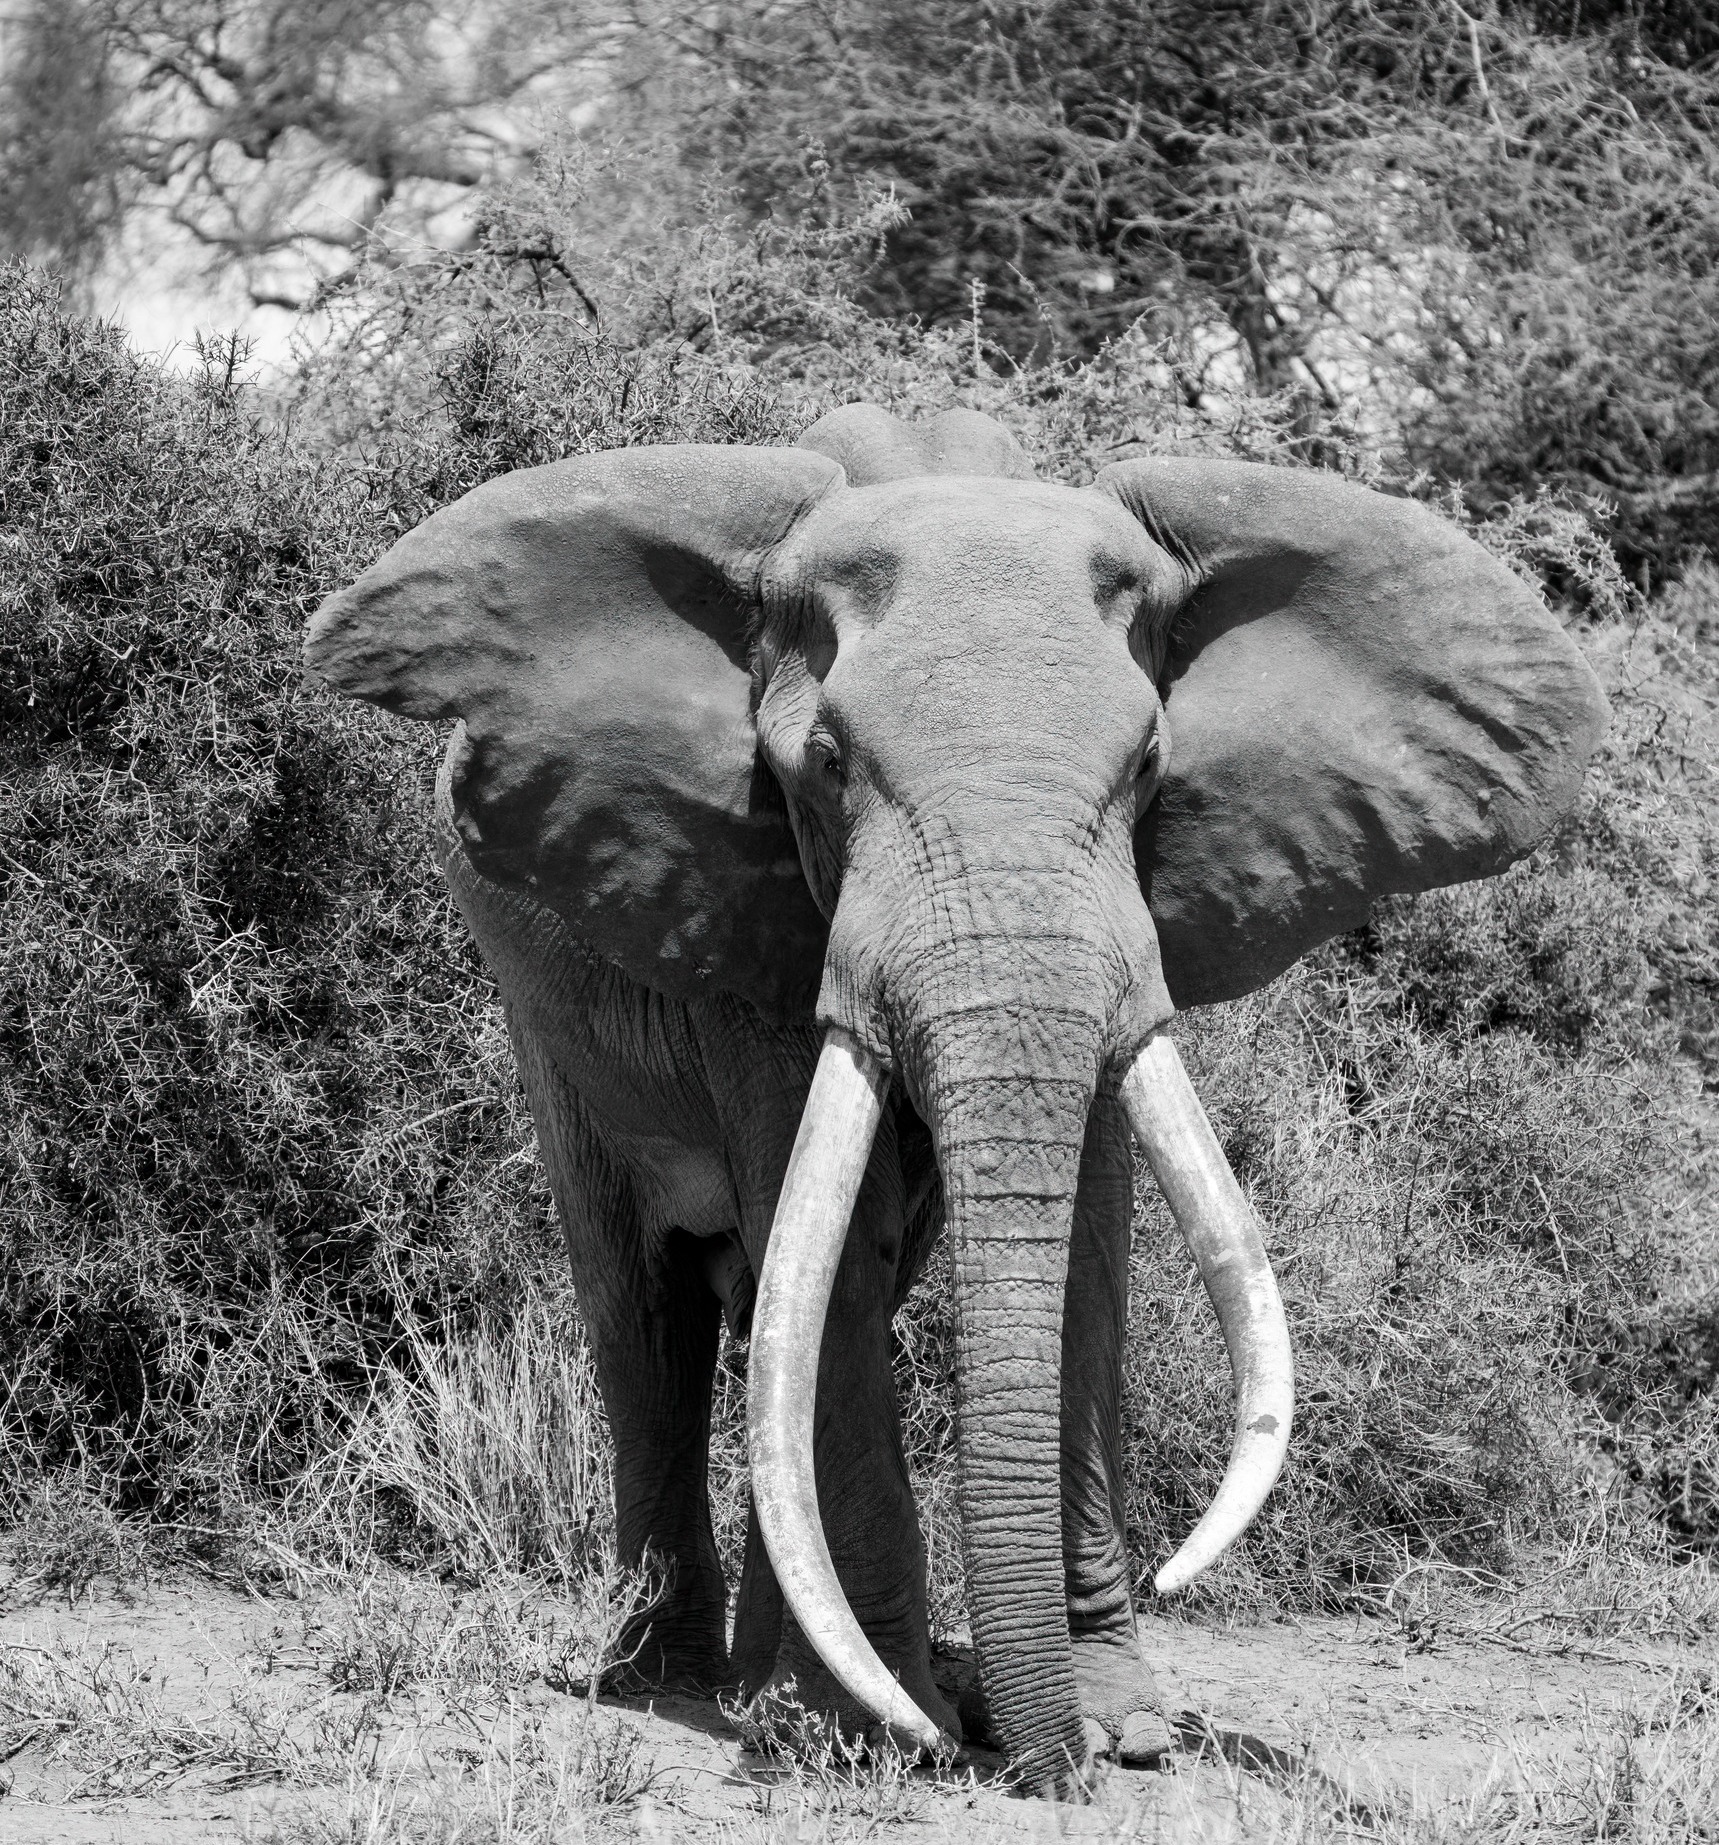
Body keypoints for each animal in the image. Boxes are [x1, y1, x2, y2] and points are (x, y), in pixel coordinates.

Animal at [304, 403, 1606, 1797]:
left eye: (1151, 763)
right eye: (824, 764)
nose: (1048, 1770)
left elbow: (1082, 1242)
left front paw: (1113, 1735)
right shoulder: (756, 913)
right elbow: (832, 1245)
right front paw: (883, 1737)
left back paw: (774, 1688)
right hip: (545, 1016)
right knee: (653, 1303)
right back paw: (676, 1683)